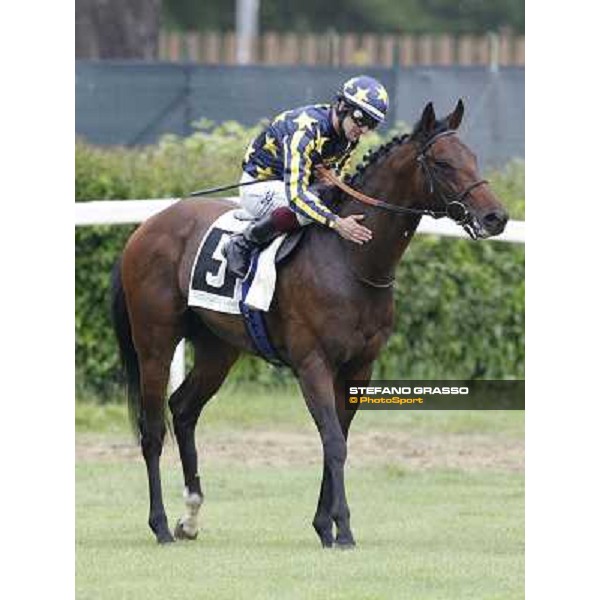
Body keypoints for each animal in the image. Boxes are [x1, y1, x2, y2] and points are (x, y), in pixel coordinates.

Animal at [111, 99, 506, 548]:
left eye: (473, 158)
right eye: (442, 162)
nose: (496, 217)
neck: (351, 262)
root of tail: (146, 226)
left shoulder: (359, 368)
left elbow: (339, 439)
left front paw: (325, 525)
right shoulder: (312, 363)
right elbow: (333, 441)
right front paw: (343, 529)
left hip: (217, 349)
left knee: (183, 409)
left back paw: (190, 517)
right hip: (155, 345)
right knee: (153, 429)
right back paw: (160, 524)